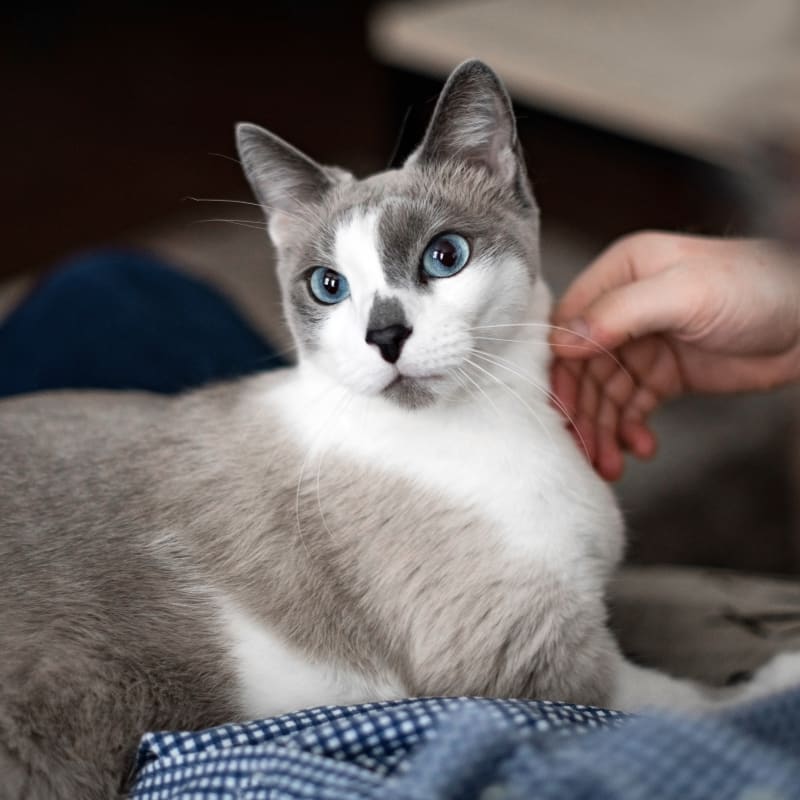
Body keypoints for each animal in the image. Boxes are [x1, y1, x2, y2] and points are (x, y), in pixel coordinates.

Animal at [1, 59, 800, 796]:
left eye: (444, 257)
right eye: (328, 286)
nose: (385, 336)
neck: (506, 421)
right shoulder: (526, 659)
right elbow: (685, 707)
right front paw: (777, 677)